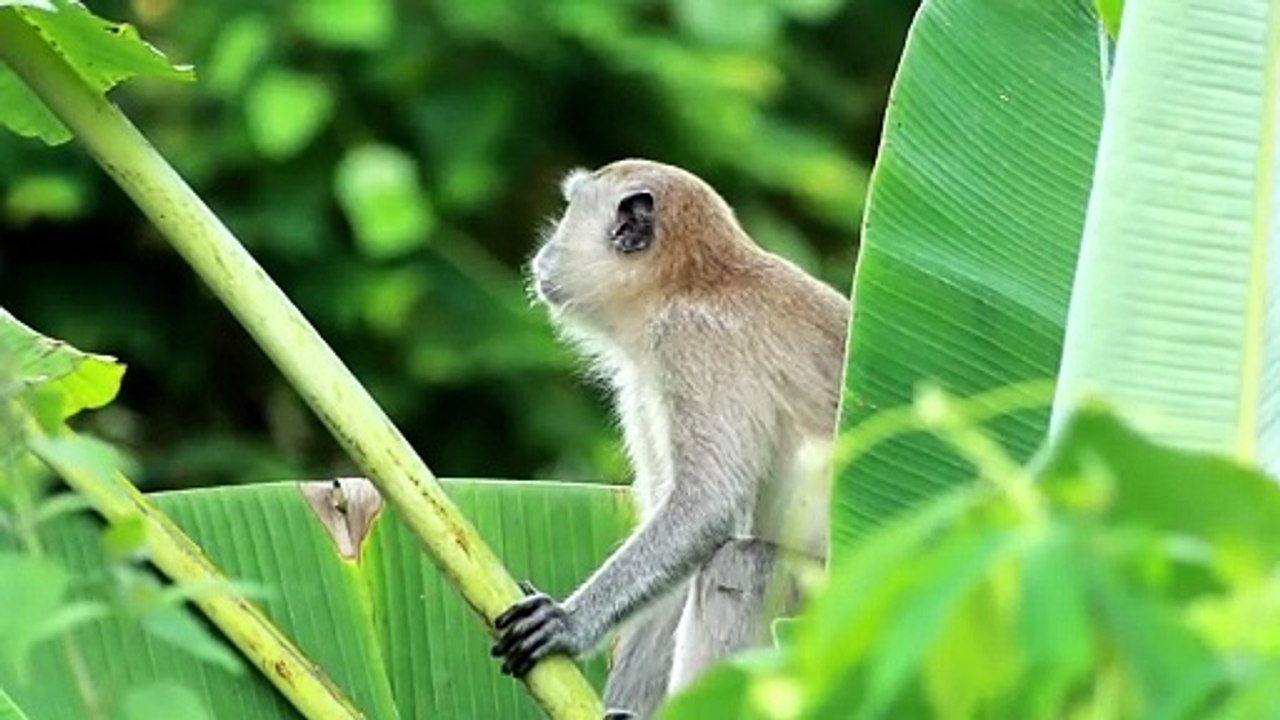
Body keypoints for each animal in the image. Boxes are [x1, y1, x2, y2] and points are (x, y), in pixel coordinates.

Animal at [491, 159, 850, 718]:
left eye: (569, 211)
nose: (545, 251)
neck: (690, 282)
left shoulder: (692, 341)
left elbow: (707, 509)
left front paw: (572, 624)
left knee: (740, 566)